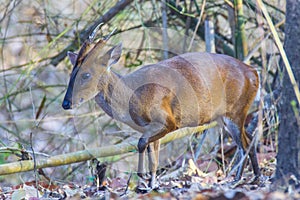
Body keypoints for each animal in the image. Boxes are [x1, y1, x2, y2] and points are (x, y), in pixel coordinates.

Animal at [62, 25, 260, 191]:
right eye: (72, 73)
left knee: (245, 143)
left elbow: (141, 143)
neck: (133, 96)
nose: (66, 103)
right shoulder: (151, 127)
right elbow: (154, 158)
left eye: (86, 75)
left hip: (236, 109)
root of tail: (254, 72)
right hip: (226, 116)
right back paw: (254, 177)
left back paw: (238, 180)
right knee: (248, 138)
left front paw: (143, 178)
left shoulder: (168, 121)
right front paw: (152, 184)